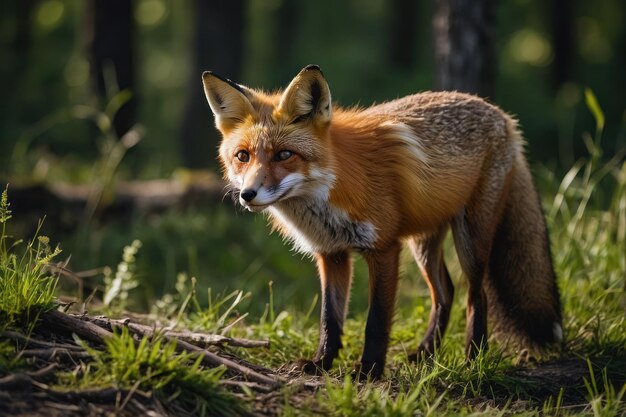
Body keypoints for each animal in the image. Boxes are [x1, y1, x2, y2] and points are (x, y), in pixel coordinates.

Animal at [204, 64, 560, 376]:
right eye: (243, 156)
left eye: (284, 155)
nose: (248, 195)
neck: (331, 189)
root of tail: (503, 115)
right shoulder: (332, 253)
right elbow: (329, 319)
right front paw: (321, 363)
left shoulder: (384, 248)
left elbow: (376, 321)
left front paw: (369, 371)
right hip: (423, 242)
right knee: (445, 292)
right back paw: (425, 353)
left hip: (470, 238)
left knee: (476, 295)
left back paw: (473, 358)